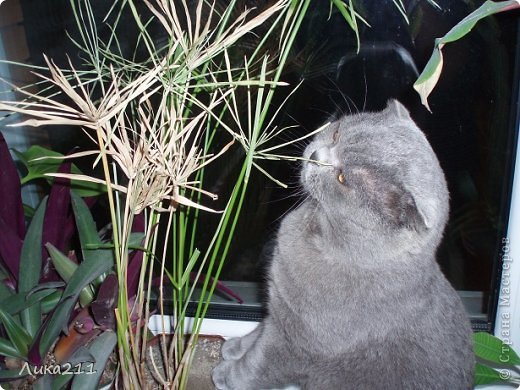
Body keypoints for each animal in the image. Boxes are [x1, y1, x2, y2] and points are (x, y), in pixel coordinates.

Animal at [211, 100, 476, 390]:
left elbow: (258, 365)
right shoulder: (280, 308)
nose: (315, 155)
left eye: (342, 179)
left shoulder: (295, 343)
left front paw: (227, 376)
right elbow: (261, 330)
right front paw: (236, 346)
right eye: (336, 134)